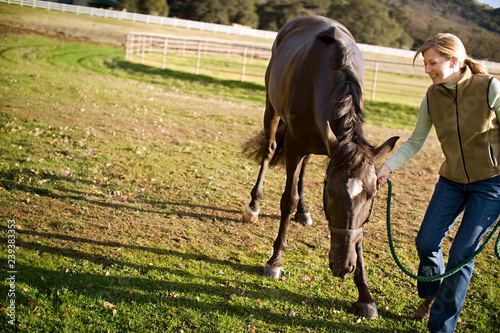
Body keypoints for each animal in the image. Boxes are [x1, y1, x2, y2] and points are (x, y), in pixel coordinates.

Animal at [241, 15, 398, 316]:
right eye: (331, 194)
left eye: (372, 196)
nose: (342, 265)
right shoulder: (294, 144)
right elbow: (287, 200)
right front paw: (275, 261)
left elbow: (359, 233)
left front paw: (365, 294)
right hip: (272, 111)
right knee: (269, 150)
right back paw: (254, 205)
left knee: (304, 168)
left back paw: (303, 212)